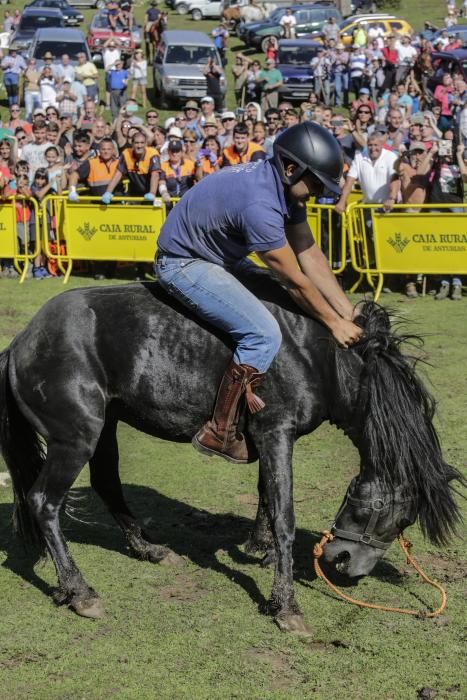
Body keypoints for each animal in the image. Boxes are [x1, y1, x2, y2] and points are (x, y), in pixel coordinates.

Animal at [0, 274, 460, 636]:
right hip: (75, 438)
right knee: (45, 503)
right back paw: (79, 591)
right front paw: (286, 604)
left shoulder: (269, 437)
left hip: (104, 425)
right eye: (397, 514)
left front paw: (259, 547)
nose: (346, 562)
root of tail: (23, 341)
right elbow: (284, 515)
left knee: (107, 483)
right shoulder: (276, 432)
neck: (320, 356)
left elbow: (266, 495)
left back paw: (148, 548)